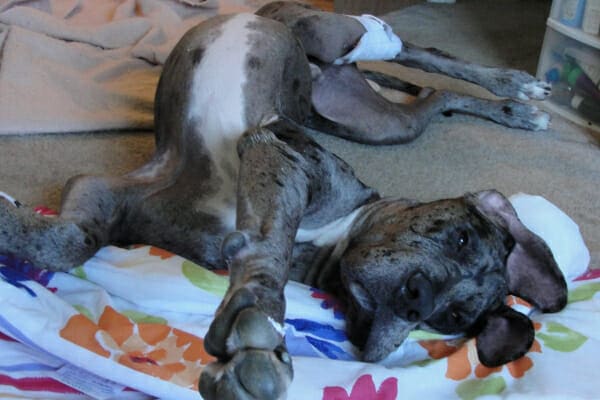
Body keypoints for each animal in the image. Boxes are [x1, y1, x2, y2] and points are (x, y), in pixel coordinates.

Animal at [0, 1, 568, 398]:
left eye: (452, 319)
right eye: (461, 236)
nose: (417, 297)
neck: (334, 236)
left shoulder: (113, 193)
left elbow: (71, 242)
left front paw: (257, 329)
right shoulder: (267, 151)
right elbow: (65, 244)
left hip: (373, 121)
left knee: (432, 93)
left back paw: (513, 105)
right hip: (306, 35)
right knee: (387, 46)